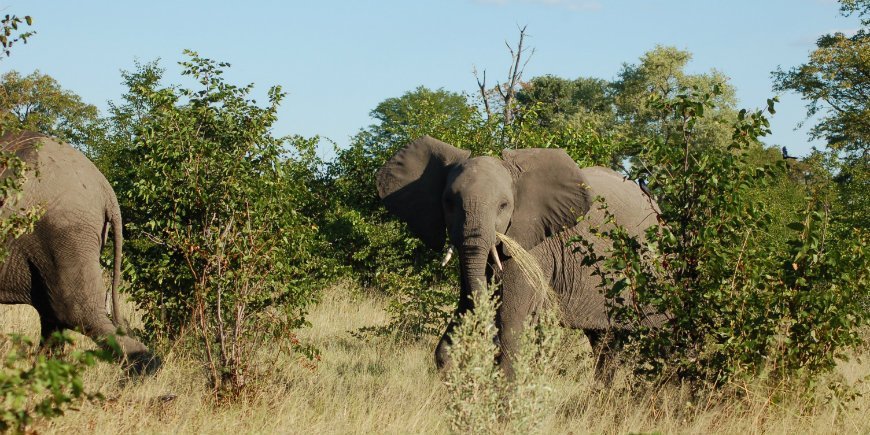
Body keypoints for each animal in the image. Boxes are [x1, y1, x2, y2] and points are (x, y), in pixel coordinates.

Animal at [377, 136, 663, 379]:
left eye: (504, 206)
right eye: (449, 202)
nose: (489, 340)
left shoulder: (533, 248)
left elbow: (511, 322)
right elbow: (465, 306)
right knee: (605, 341)